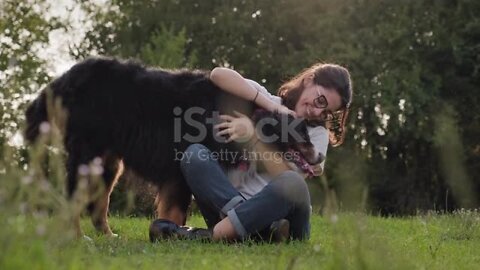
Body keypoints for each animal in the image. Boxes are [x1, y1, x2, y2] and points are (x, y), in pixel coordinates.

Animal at [23, 57, 322, 236]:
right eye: (303, 135)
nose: (319, 156)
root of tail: (63, 79)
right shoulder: (178, 170)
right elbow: (176, 210)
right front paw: (171, 232)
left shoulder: (173, 177)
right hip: (88, 156)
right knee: (72, 200)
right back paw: (77, 237)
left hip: (108, 163)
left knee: (99, 203)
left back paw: (107, 235)